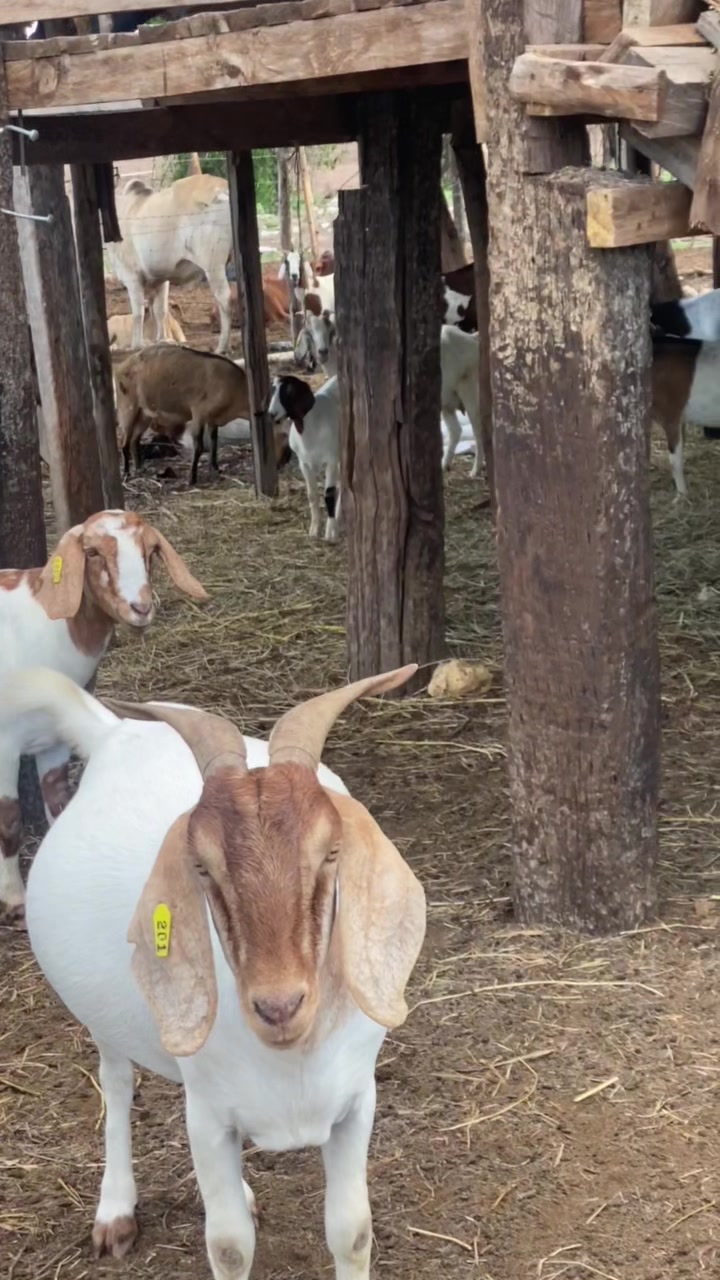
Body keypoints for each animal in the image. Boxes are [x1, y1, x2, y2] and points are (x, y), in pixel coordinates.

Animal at [0, 512, 207, 920]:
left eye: (150, 550)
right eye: (92, 552)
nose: (140, 607)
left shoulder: (54, 740)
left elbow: (57, 799)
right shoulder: (3, 743)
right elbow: (10, 820)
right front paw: (13, 899)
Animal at [8, 664, 425, 1277]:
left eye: (331, 852)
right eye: (202, 867)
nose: (279, 1006)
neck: (290, 1062)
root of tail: (114, 731)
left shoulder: (356, 1102)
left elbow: (351, 1231)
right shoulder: (208, 1123)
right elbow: (228, 1245)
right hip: (103, 1019)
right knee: (116, 1082)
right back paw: (115, 1212)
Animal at [116, 344, 251, 486]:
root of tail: (120, 368)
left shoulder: (213, 419)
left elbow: (214, 441)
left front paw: (215, 469)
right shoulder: (198, 413)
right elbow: (199, 446)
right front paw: (192, 478)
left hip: (144, 414)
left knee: (134, 440)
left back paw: (139, 468)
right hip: (127, 407)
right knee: (124, 441)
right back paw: (126, 473)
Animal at [269, 375, 342, 541]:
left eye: (289, 391)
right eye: (273, 389)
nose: (271, 414)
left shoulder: (332, 461)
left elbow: (329, 495)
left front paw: (330, 533)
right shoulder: (304, 464)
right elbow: (312, 495)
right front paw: (314, 530)